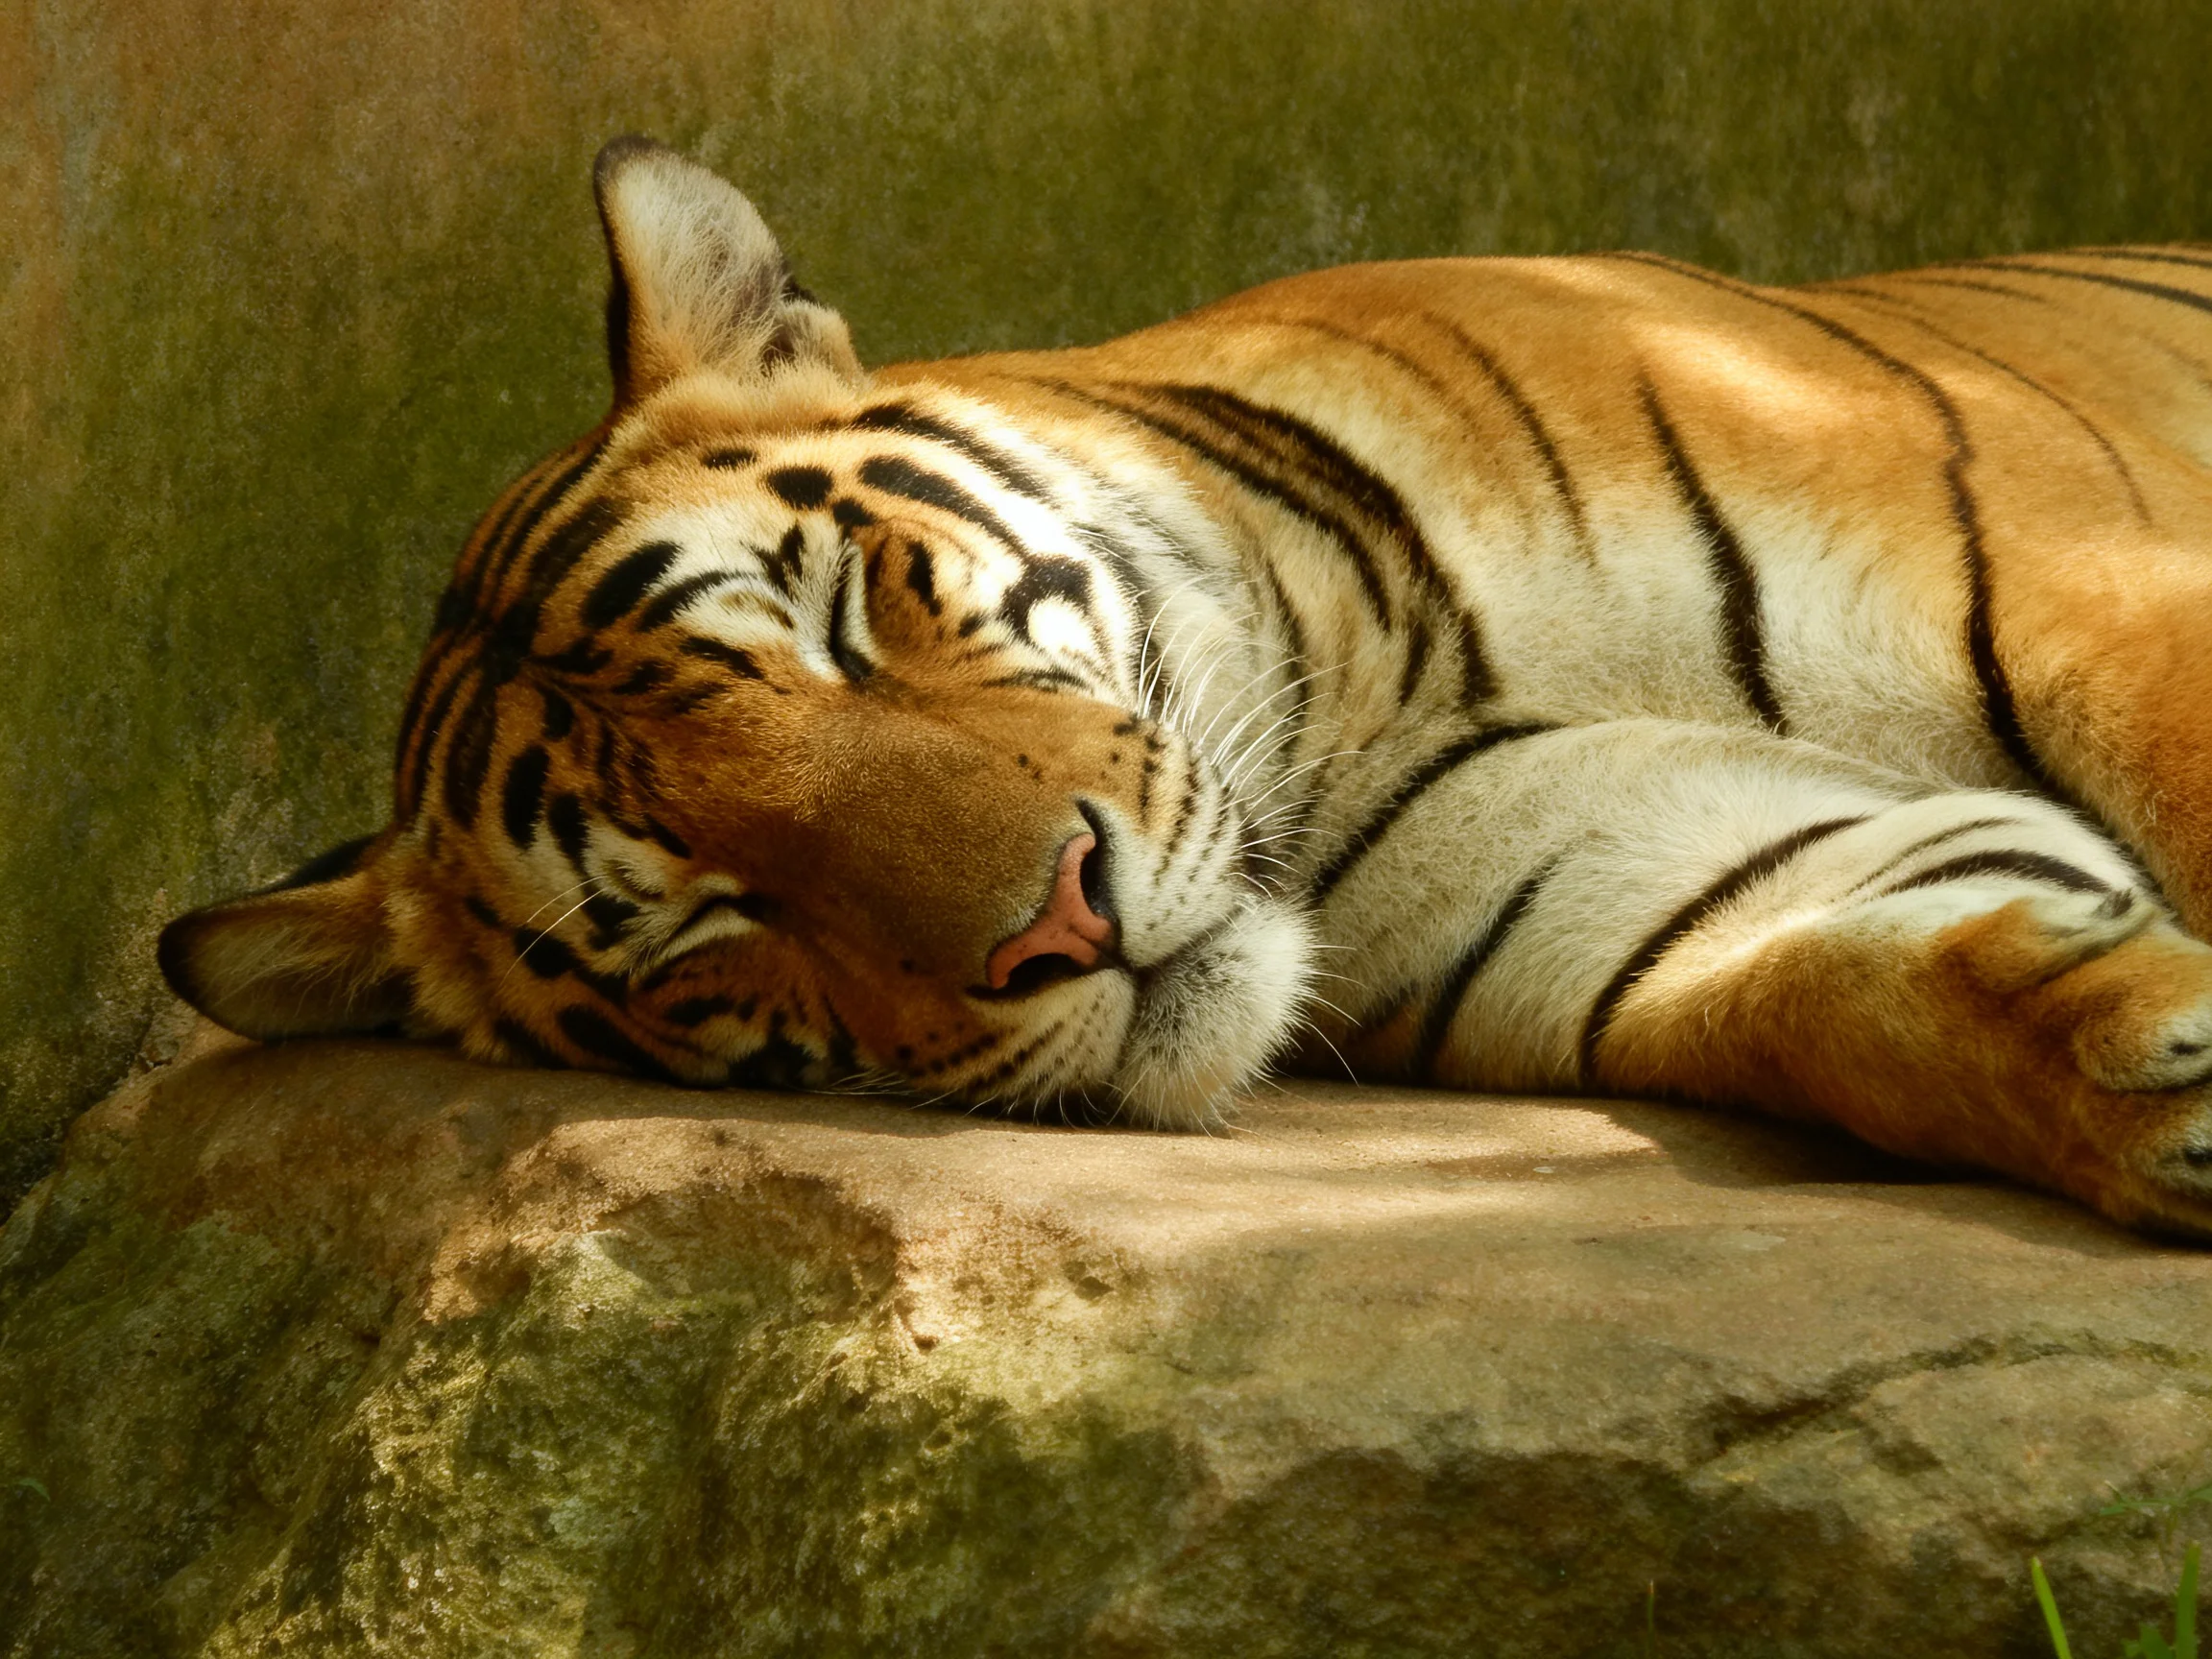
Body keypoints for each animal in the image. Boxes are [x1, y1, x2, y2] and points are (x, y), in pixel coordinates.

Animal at [158, 135, 2212, 1237]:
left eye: (841, 621)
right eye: (702, 928)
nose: (1060, 924)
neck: (1353, 704)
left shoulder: (2085, 584)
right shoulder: (1628, 877)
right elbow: (1853, 990)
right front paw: (2146, 1083)